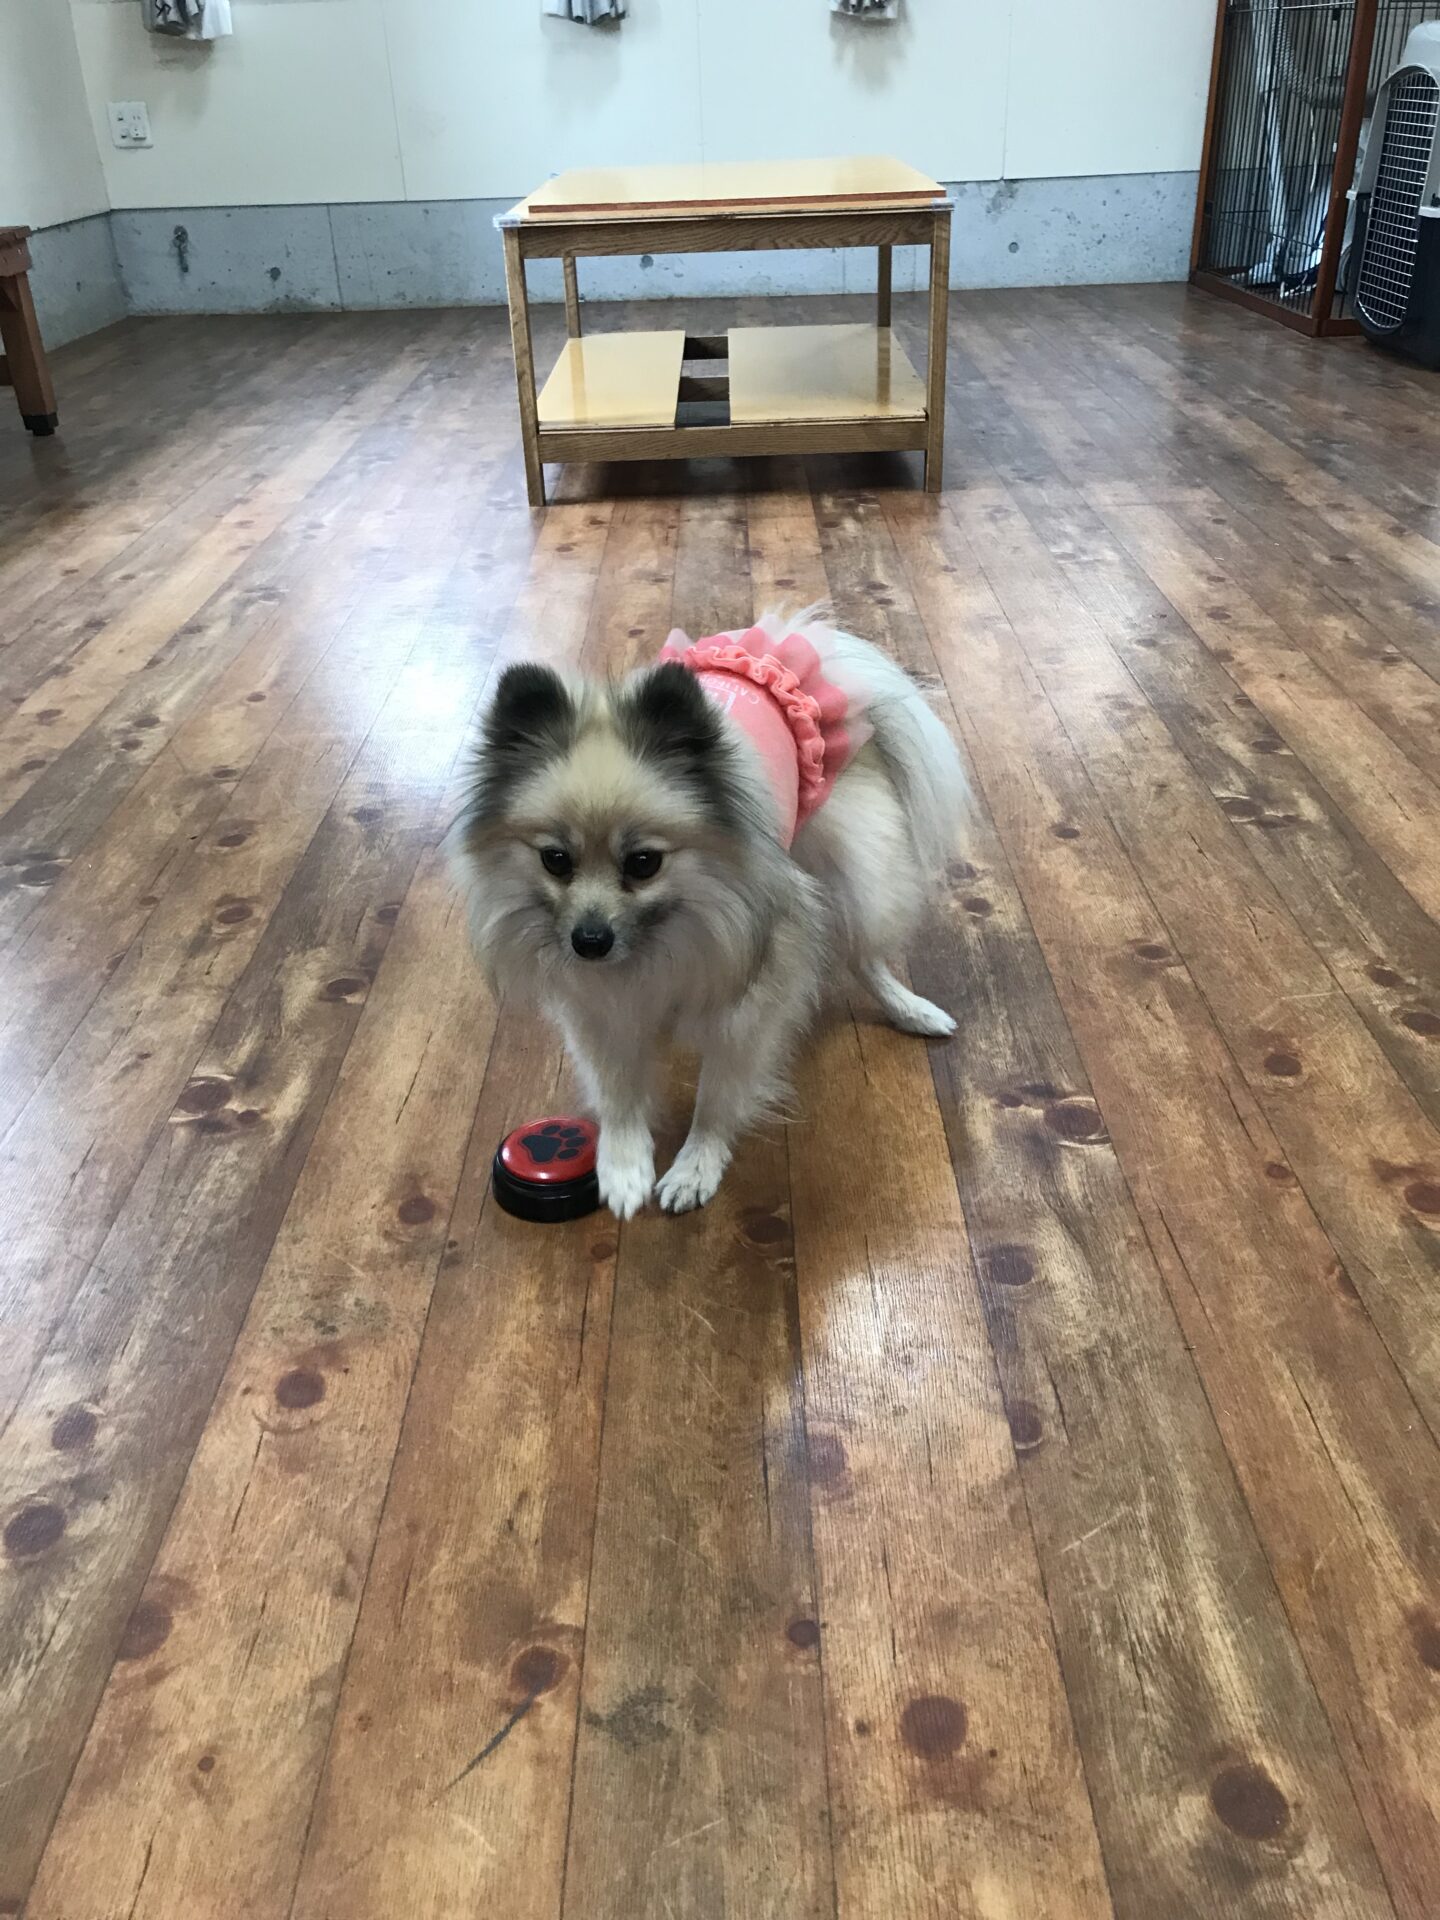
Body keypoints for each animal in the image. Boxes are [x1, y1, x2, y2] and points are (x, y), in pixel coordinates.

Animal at [453, 608, 965, 1218]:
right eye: (556, 860)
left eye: (643, 863)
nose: (589, 940)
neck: (669, 935)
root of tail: (789, 642)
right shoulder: (599, 1005)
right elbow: (616, 1087)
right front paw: (623, 1165)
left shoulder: (748, 1012)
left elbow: (717, 1097)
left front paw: (696, 1164)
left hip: (858, 872)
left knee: (864, 951)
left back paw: (910, 1008)